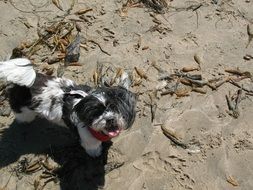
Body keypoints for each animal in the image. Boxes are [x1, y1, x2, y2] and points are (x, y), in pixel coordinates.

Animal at [0, 58, 136, 157]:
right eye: (96, 113)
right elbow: (93, 148)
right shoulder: (89, 140)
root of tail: (25, 83)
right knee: (22, 116)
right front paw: (96, 154)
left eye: (114, 108)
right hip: (24, 110)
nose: (110, 119)